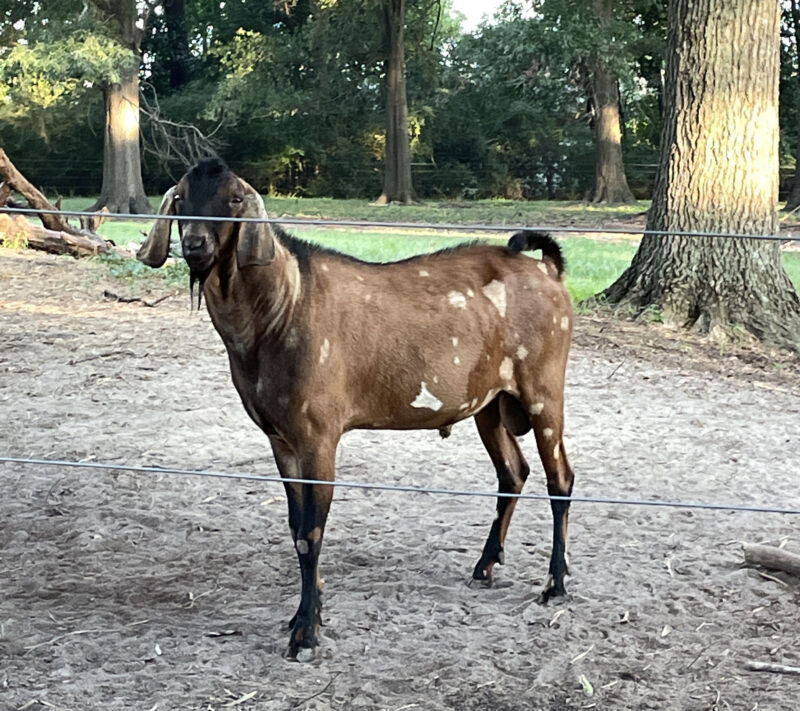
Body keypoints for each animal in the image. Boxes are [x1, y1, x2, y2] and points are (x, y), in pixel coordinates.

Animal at [137, 158, 575, 661]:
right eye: (181, 198)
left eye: (234, 199)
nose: (195, 244)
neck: (285, 303)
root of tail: (549, 272)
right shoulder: (280, 438)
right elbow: (296, 529)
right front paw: (305, 615)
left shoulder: (318, 434)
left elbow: (311, 533)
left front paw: (306, 632)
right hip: (490, 402)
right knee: (513, 473)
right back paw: (485, 566)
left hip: (543, 388)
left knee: (560, 480)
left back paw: (555, 584)